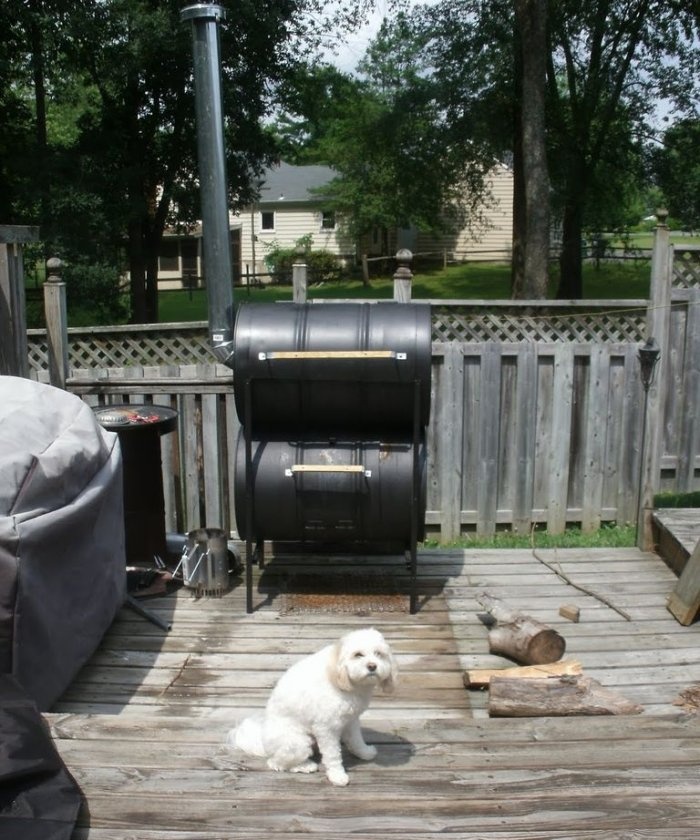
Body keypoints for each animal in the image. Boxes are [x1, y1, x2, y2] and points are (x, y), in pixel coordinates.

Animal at [228, 628, 396, 784]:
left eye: (379, 654)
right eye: (358, 654)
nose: (372, 666)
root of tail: (263, 742)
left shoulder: (351, 719)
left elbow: (356, 740)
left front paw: (365, 752)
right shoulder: (326, 728)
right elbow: (332, 755)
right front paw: (337, 775)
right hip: (297, 742)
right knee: (277, 763)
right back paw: (305, 766)